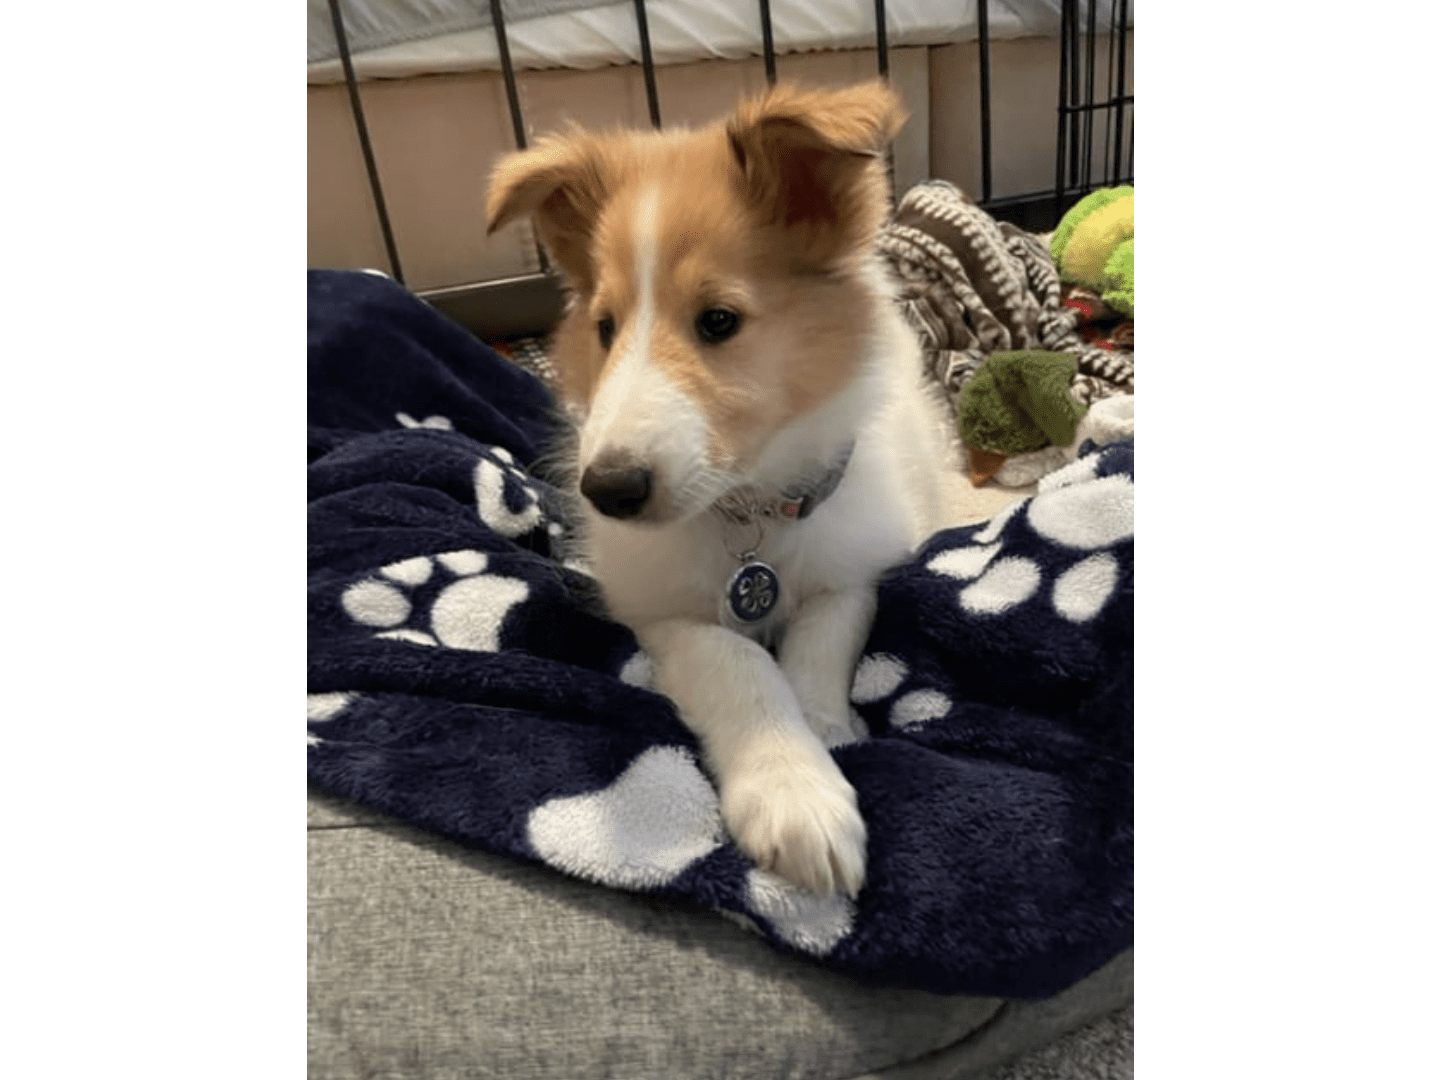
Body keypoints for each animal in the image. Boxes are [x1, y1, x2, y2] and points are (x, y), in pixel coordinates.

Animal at [489, 80, 1019, 898]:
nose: (609, 489)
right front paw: (795, 794)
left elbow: (816, 648)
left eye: (718, 320)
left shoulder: (851, 569)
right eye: (605, 327)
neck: (749, 508)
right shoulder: (662, 610)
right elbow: (739, 665)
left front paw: (827, 736)